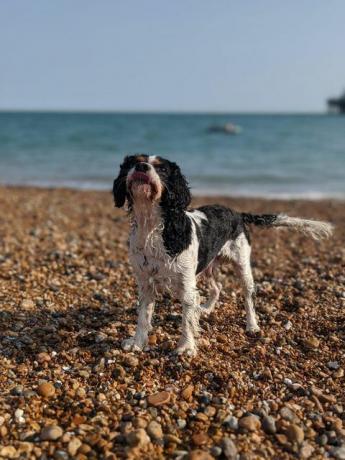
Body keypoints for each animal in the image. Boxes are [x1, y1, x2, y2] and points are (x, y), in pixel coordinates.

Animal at [113, 155, 334, 356]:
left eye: (162, 168)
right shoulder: (145, 282)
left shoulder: (186, 284)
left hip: (242, 265)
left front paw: (186, 347)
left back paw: (252, 325)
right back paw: (205, 309)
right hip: (208, 265)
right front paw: (137, 343)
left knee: (249, 296)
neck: (152, 227)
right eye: (134, 162)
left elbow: (187, 319)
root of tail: (237, 213)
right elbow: (143, 316)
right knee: (217, 287)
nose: (142, 166)